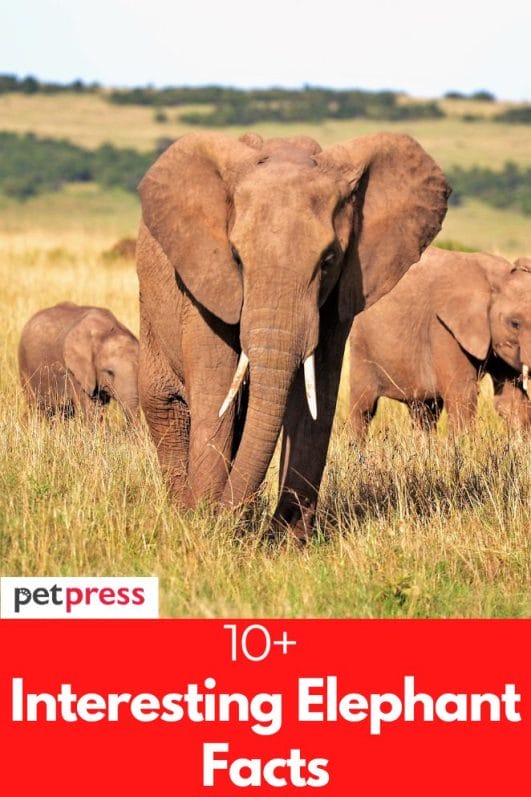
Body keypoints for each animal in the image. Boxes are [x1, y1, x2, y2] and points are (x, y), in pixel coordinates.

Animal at [136, 130, 449, 540]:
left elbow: (316, 398)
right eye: (236, 257)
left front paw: (286, 541)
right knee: (166, 406)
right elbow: (216, 392)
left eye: (328, 260)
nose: (222, 518)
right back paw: (183, 512)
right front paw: (205, 525)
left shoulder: (339, 294)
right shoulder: (204, 284)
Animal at [349, 247, 531, 439]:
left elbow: (511, 401)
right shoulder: (443, 328)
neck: (495, 276)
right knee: (364, 408)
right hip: (361, 344)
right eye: (514, 323)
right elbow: (463, 395)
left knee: (424, 412)